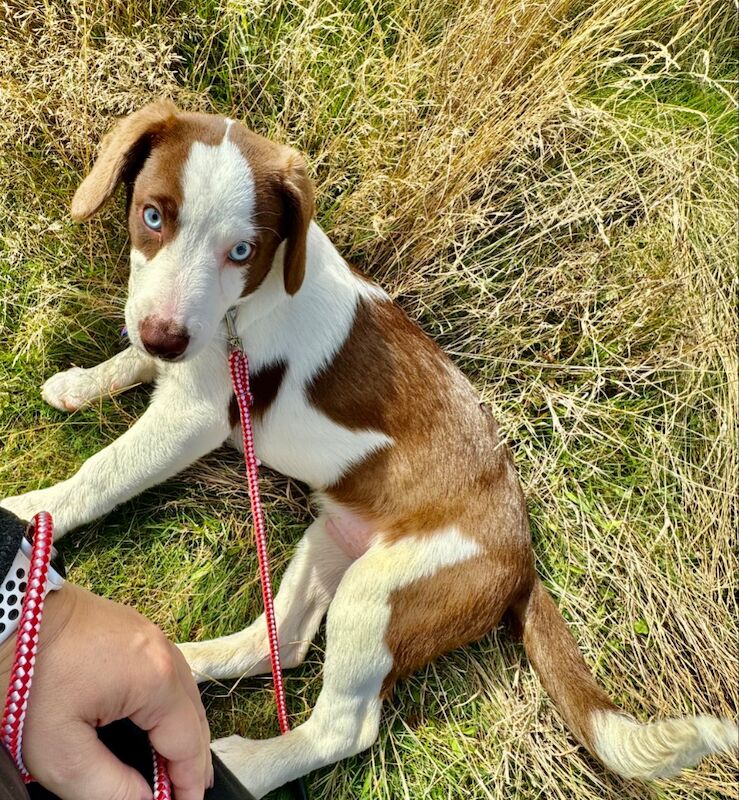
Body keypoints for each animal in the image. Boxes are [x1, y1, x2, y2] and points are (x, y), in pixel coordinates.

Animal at [2, 103, 736, 796]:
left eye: (242, 251)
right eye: (151, 215)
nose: (165, 335)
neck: (245, 305)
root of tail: (521, 557)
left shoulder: (194, 415)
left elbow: (103, 472)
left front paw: (34, 511)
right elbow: (132, 361)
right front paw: (83, 382)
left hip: (380, 594)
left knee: (342, 728)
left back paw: (244, 763)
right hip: (333, 542)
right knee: (281, 643)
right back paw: (182, 663)